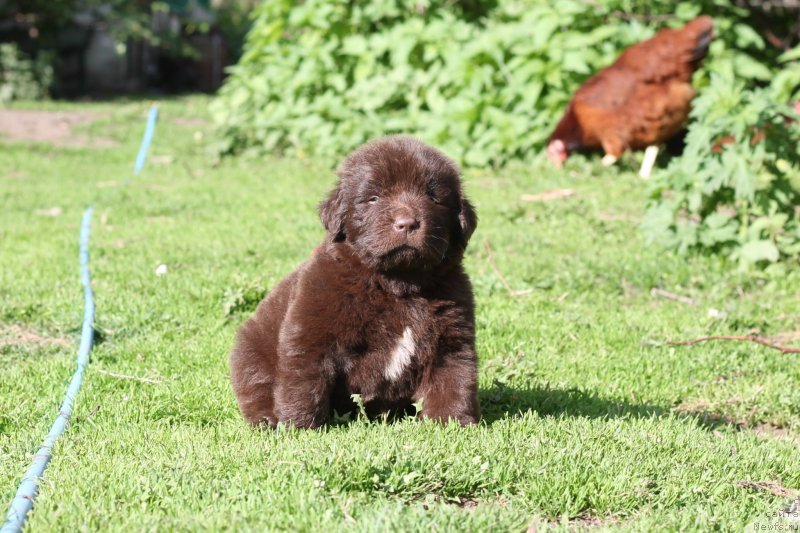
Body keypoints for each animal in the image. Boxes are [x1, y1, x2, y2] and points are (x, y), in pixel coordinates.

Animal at [231, 137, 482, 428]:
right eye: (373, 198)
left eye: (433, 198)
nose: (407, 223)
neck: (396, 285)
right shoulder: (311, 333)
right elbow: (303, 380)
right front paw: (299, 426)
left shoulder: (451, 339)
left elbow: (454, 378)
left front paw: (453, 422)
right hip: (251, 352)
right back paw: (268, 420)